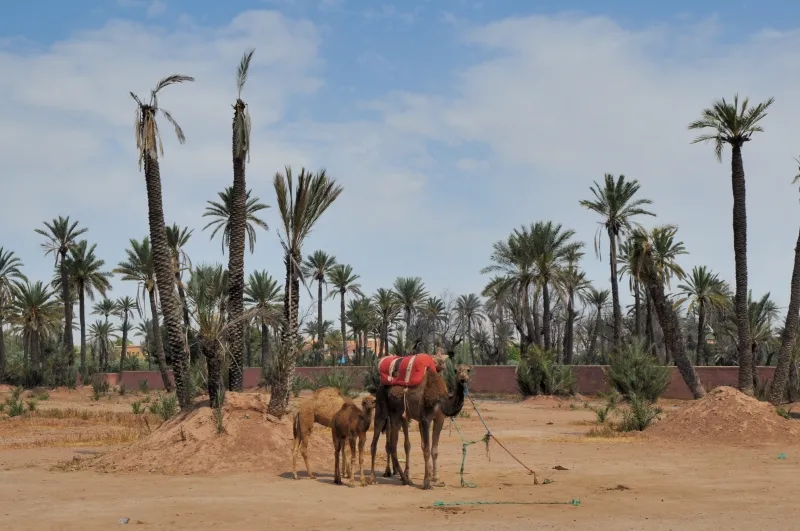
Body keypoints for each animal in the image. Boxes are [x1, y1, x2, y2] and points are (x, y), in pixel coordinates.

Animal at [370, 360, 472, 489]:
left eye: (468, 370)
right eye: (456, 370)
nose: (463, 379)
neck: (442, 400)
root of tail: (380, 385)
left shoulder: (439, 419)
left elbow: (435, 450)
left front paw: (437, 480)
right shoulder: (425, 419)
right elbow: (427, 449)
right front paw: (426, 482)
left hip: (396, 415)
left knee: (392, 446)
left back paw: (405, 479)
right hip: (381, 408)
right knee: (375, 442)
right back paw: (373, 478)